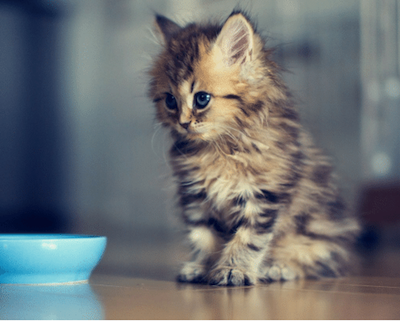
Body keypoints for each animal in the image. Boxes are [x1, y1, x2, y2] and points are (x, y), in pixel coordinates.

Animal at [147, 10, 360, 284]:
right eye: (170, 101)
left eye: (202, 99)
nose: (182, 123)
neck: (219, 148)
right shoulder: (196, 197)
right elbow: (203, 237)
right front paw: (203, 267)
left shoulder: (261, 196)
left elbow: (247, 240)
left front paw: (233, 269)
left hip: (320, 232)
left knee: (322, 261)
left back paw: (280, 267)